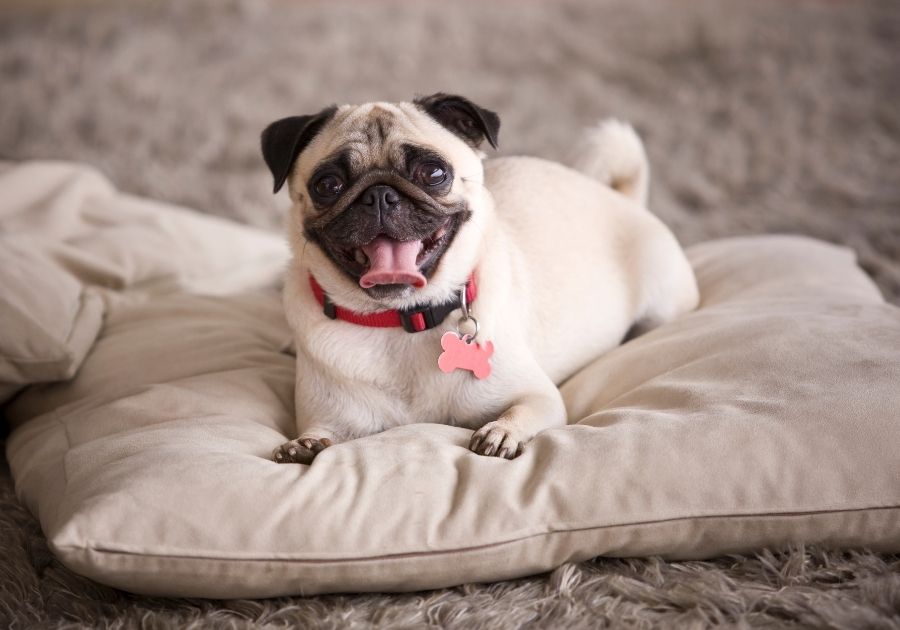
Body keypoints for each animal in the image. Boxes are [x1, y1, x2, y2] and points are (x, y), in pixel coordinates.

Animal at [260, 96, 696, 466]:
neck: (402, 320)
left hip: (662, 303)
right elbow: (320, 433)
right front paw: (303, 445)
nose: (379, 194)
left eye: (434, 173)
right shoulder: (332, 417)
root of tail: (623, 198)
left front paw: (502, 432)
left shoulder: (540, 397)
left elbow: (524, 410)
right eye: (328, 185)